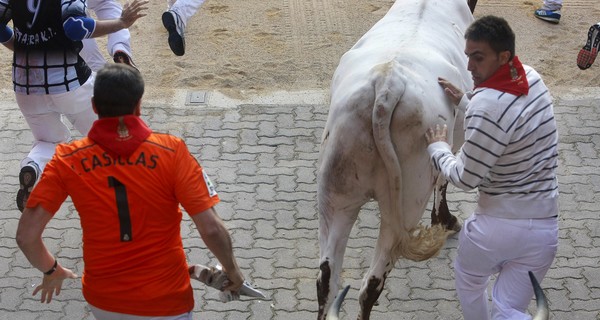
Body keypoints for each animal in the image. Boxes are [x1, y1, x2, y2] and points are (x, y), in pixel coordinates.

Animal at [316, 1, 476, 318]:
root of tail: (388, 85)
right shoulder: (455, 137)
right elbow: (443, 180)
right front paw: (445, 220)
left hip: (335, 192)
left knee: (327, 277)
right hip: (405, 204)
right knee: (371, 283)